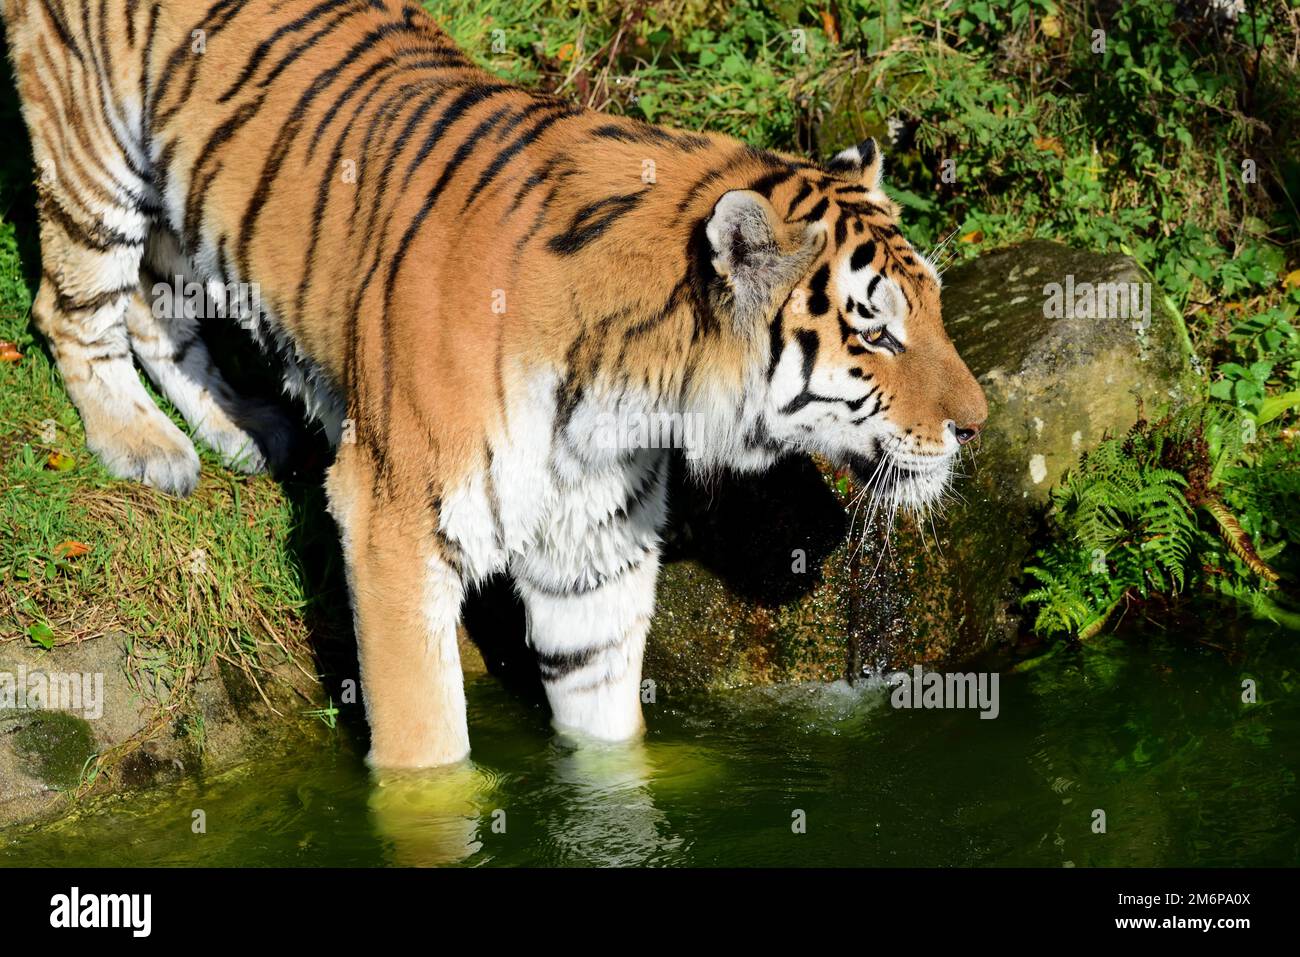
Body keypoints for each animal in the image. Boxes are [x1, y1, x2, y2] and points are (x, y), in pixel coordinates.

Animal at [2, 0, 987, 769]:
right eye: (875, 330)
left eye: (933, 305)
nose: (976, 425)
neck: (628, 398)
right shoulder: (391, 517)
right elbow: (427, 753)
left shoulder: (592, 550)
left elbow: (608, 740)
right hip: (93, 149)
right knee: (73, 304)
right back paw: (143, 445)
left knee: (152, 302)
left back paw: (244, 427)